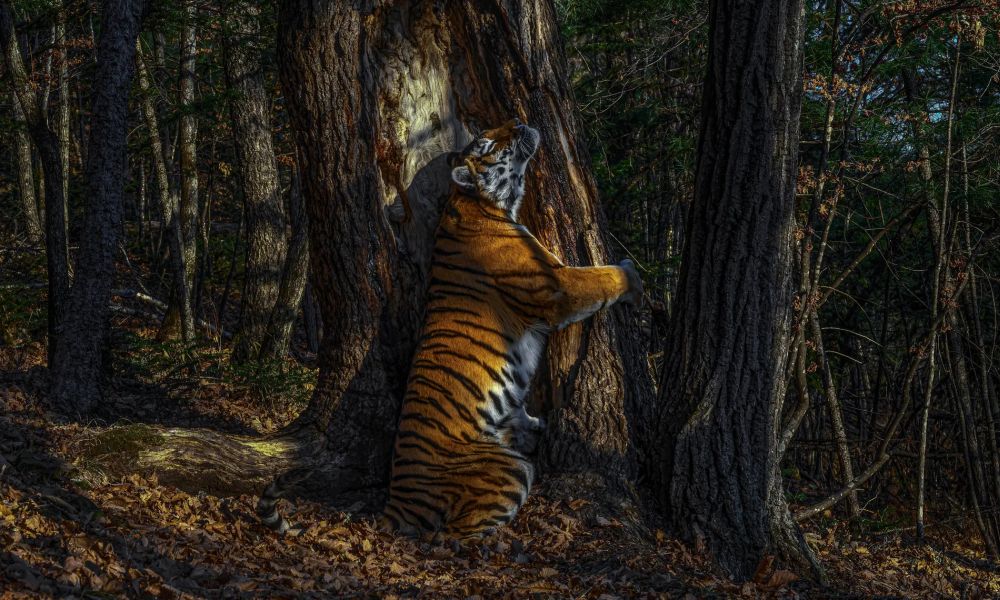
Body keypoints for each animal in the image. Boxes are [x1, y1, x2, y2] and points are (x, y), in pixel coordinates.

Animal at [258, 119, 644, 540]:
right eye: (489, 144)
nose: (518, 121)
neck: (482, 203)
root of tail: (394, 503)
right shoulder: (555, 285)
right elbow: (600, 277)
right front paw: (634, 275)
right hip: (508, 469)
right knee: (456, 535)